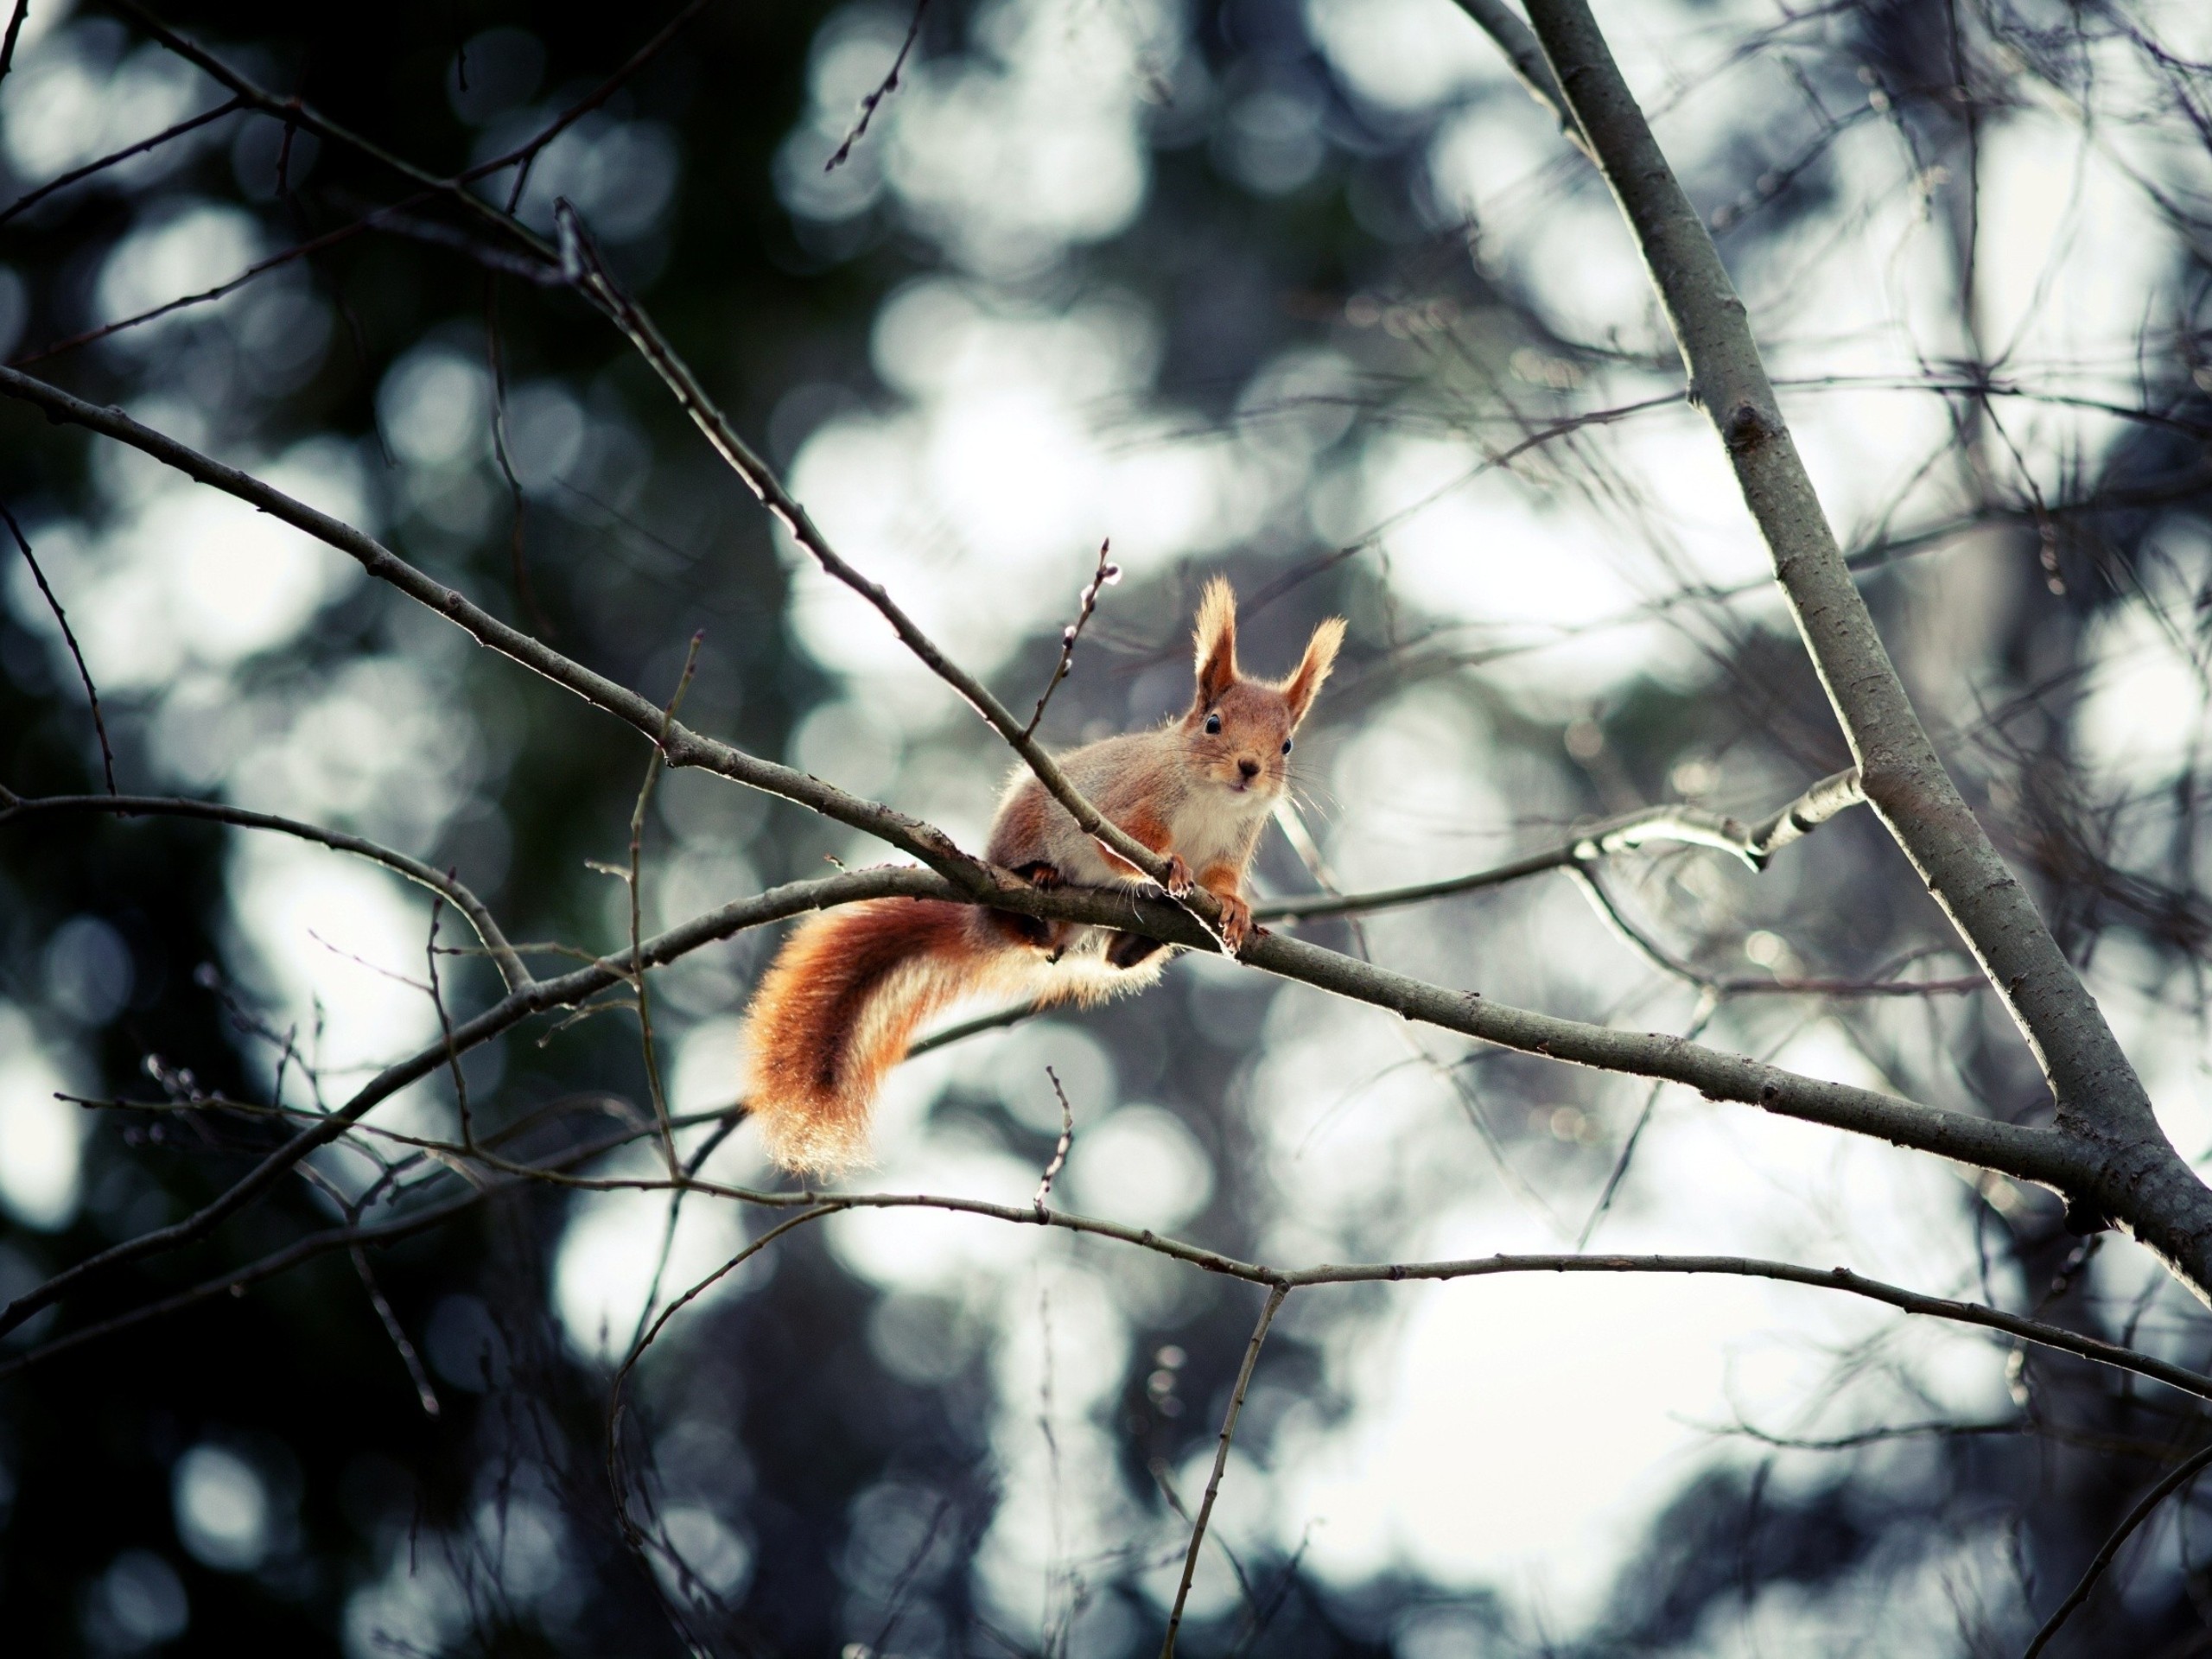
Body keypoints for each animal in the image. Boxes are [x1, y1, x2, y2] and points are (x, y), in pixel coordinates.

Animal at [743, 579, 1336, 1176]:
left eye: (1286, 744)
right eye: (1214, 723)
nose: (1250, 768)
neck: (1213, 801)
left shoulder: (1233, 844)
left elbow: (1222, 882)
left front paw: (1235, 910)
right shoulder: (1127, 806)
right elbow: (1125, 846)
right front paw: (1171, 864)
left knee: (1107, 958)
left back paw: (1130, 943)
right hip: (1022, 834)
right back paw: (1040, 881)